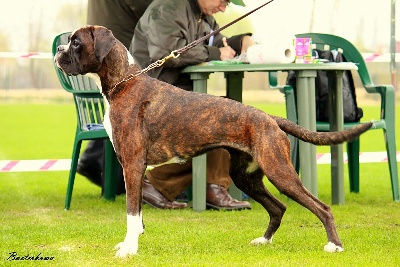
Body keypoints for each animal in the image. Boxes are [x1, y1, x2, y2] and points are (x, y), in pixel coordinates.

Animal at [54, 26, 372, 258]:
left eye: (76, 43)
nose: (58, 50)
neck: (125, 81)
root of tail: (269, 117)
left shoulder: (132, 165)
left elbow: (132, 213)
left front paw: (129, 250)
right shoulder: (133, 168)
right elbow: (138, 215)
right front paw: (132, 243)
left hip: (280, 172)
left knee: (321, 207)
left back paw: (335, 245)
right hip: (246, 177)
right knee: (278, 207)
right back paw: (264, 241)